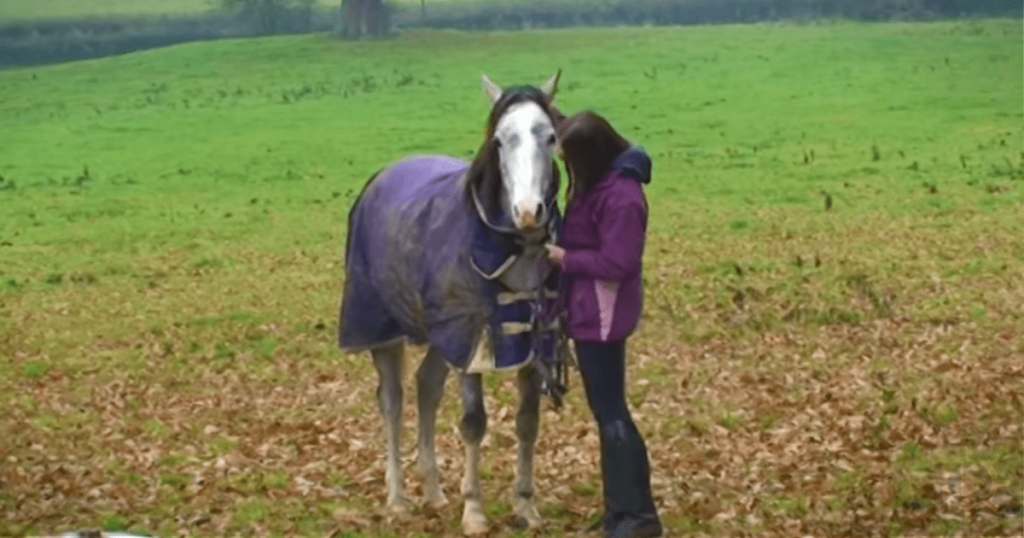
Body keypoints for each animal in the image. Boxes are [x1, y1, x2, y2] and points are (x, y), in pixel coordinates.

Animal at [337, 72, 570, 535]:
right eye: (499, 140)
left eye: (550, 136)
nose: (528, 212)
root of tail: (383, 176)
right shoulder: (472, 342)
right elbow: (474, 423)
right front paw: (475, 512)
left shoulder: (528, 346)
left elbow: (527, 423)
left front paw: (525, 506)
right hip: (386, 333)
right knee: (392, 401)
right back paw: (398, 498)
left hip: (441, 339)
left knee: (426, 387)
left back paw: (433, 491)